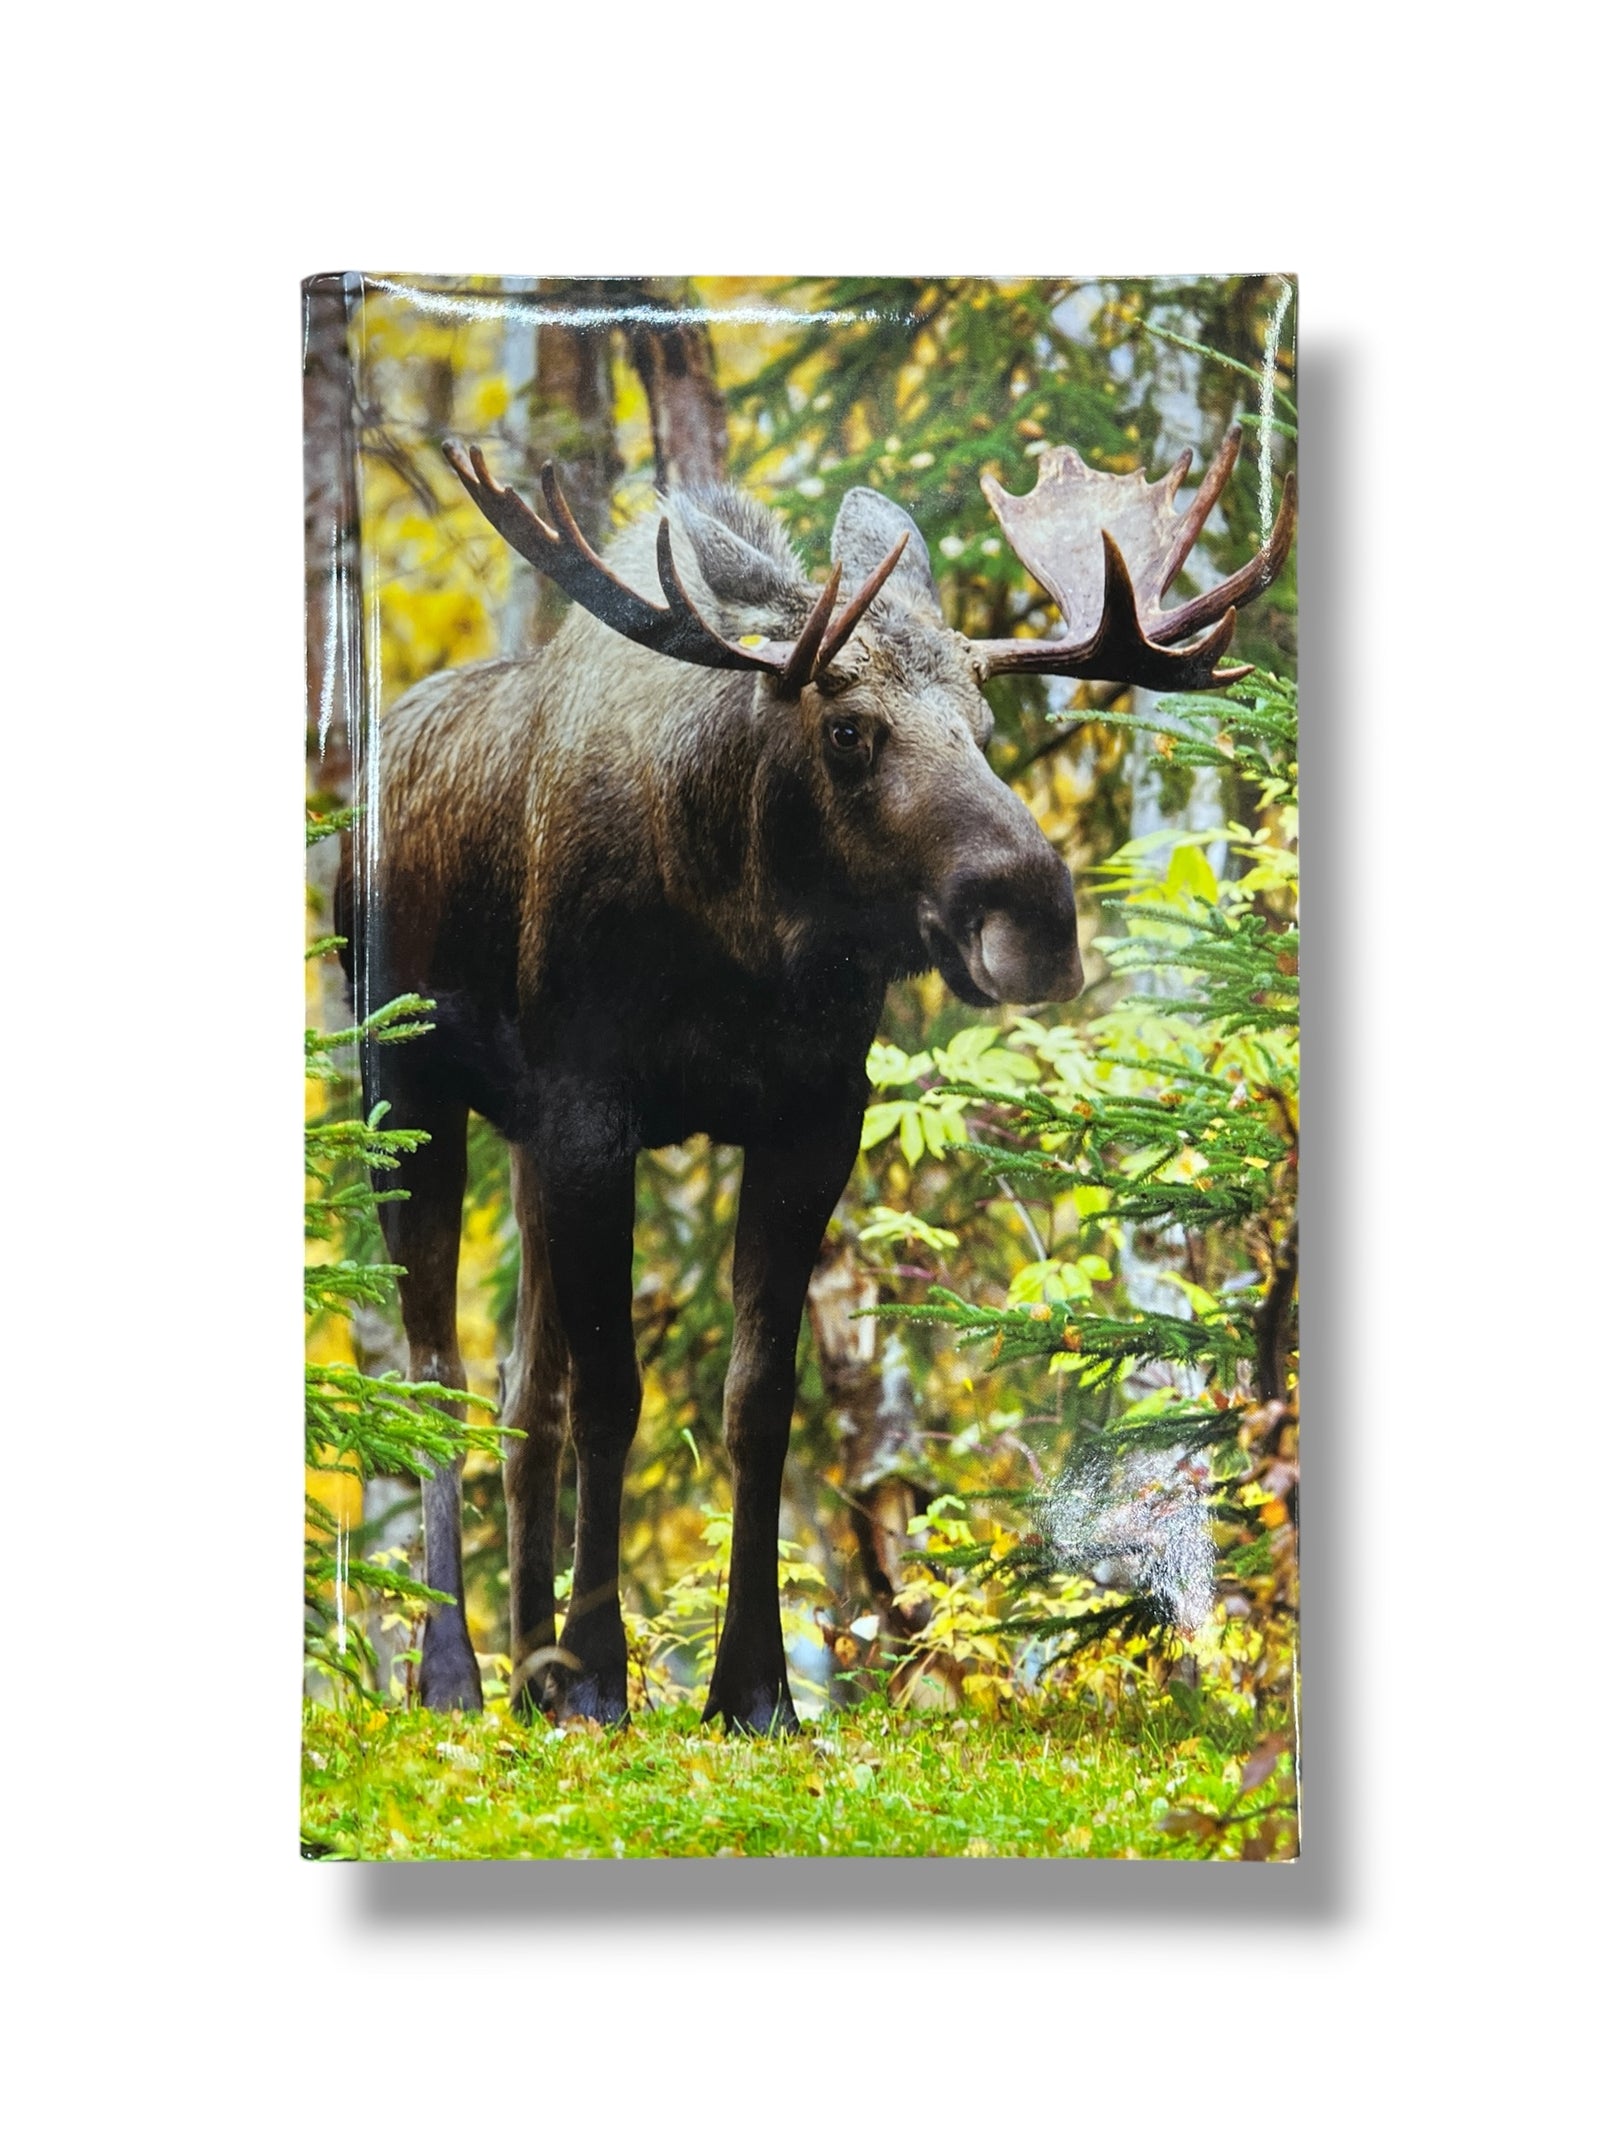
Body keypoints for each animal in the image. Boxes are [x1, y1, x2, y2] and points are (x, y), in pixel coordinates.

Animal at [338, 425, 1294, 1731]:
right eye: (847, 729)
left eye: (982, 719)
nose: (1038, 921)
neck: (744, 931)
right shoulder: (593, 1110)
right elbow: (614, 1395)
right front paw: (601, 1677)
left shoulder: (811, 1117)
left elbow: (754, 1400)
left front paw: (751, 1688)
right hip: (404, 1086)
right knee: (434, 1366)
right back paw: (456, 1672)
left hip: (520, 1140)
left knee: (520, 1392)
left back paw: (528, 1671)